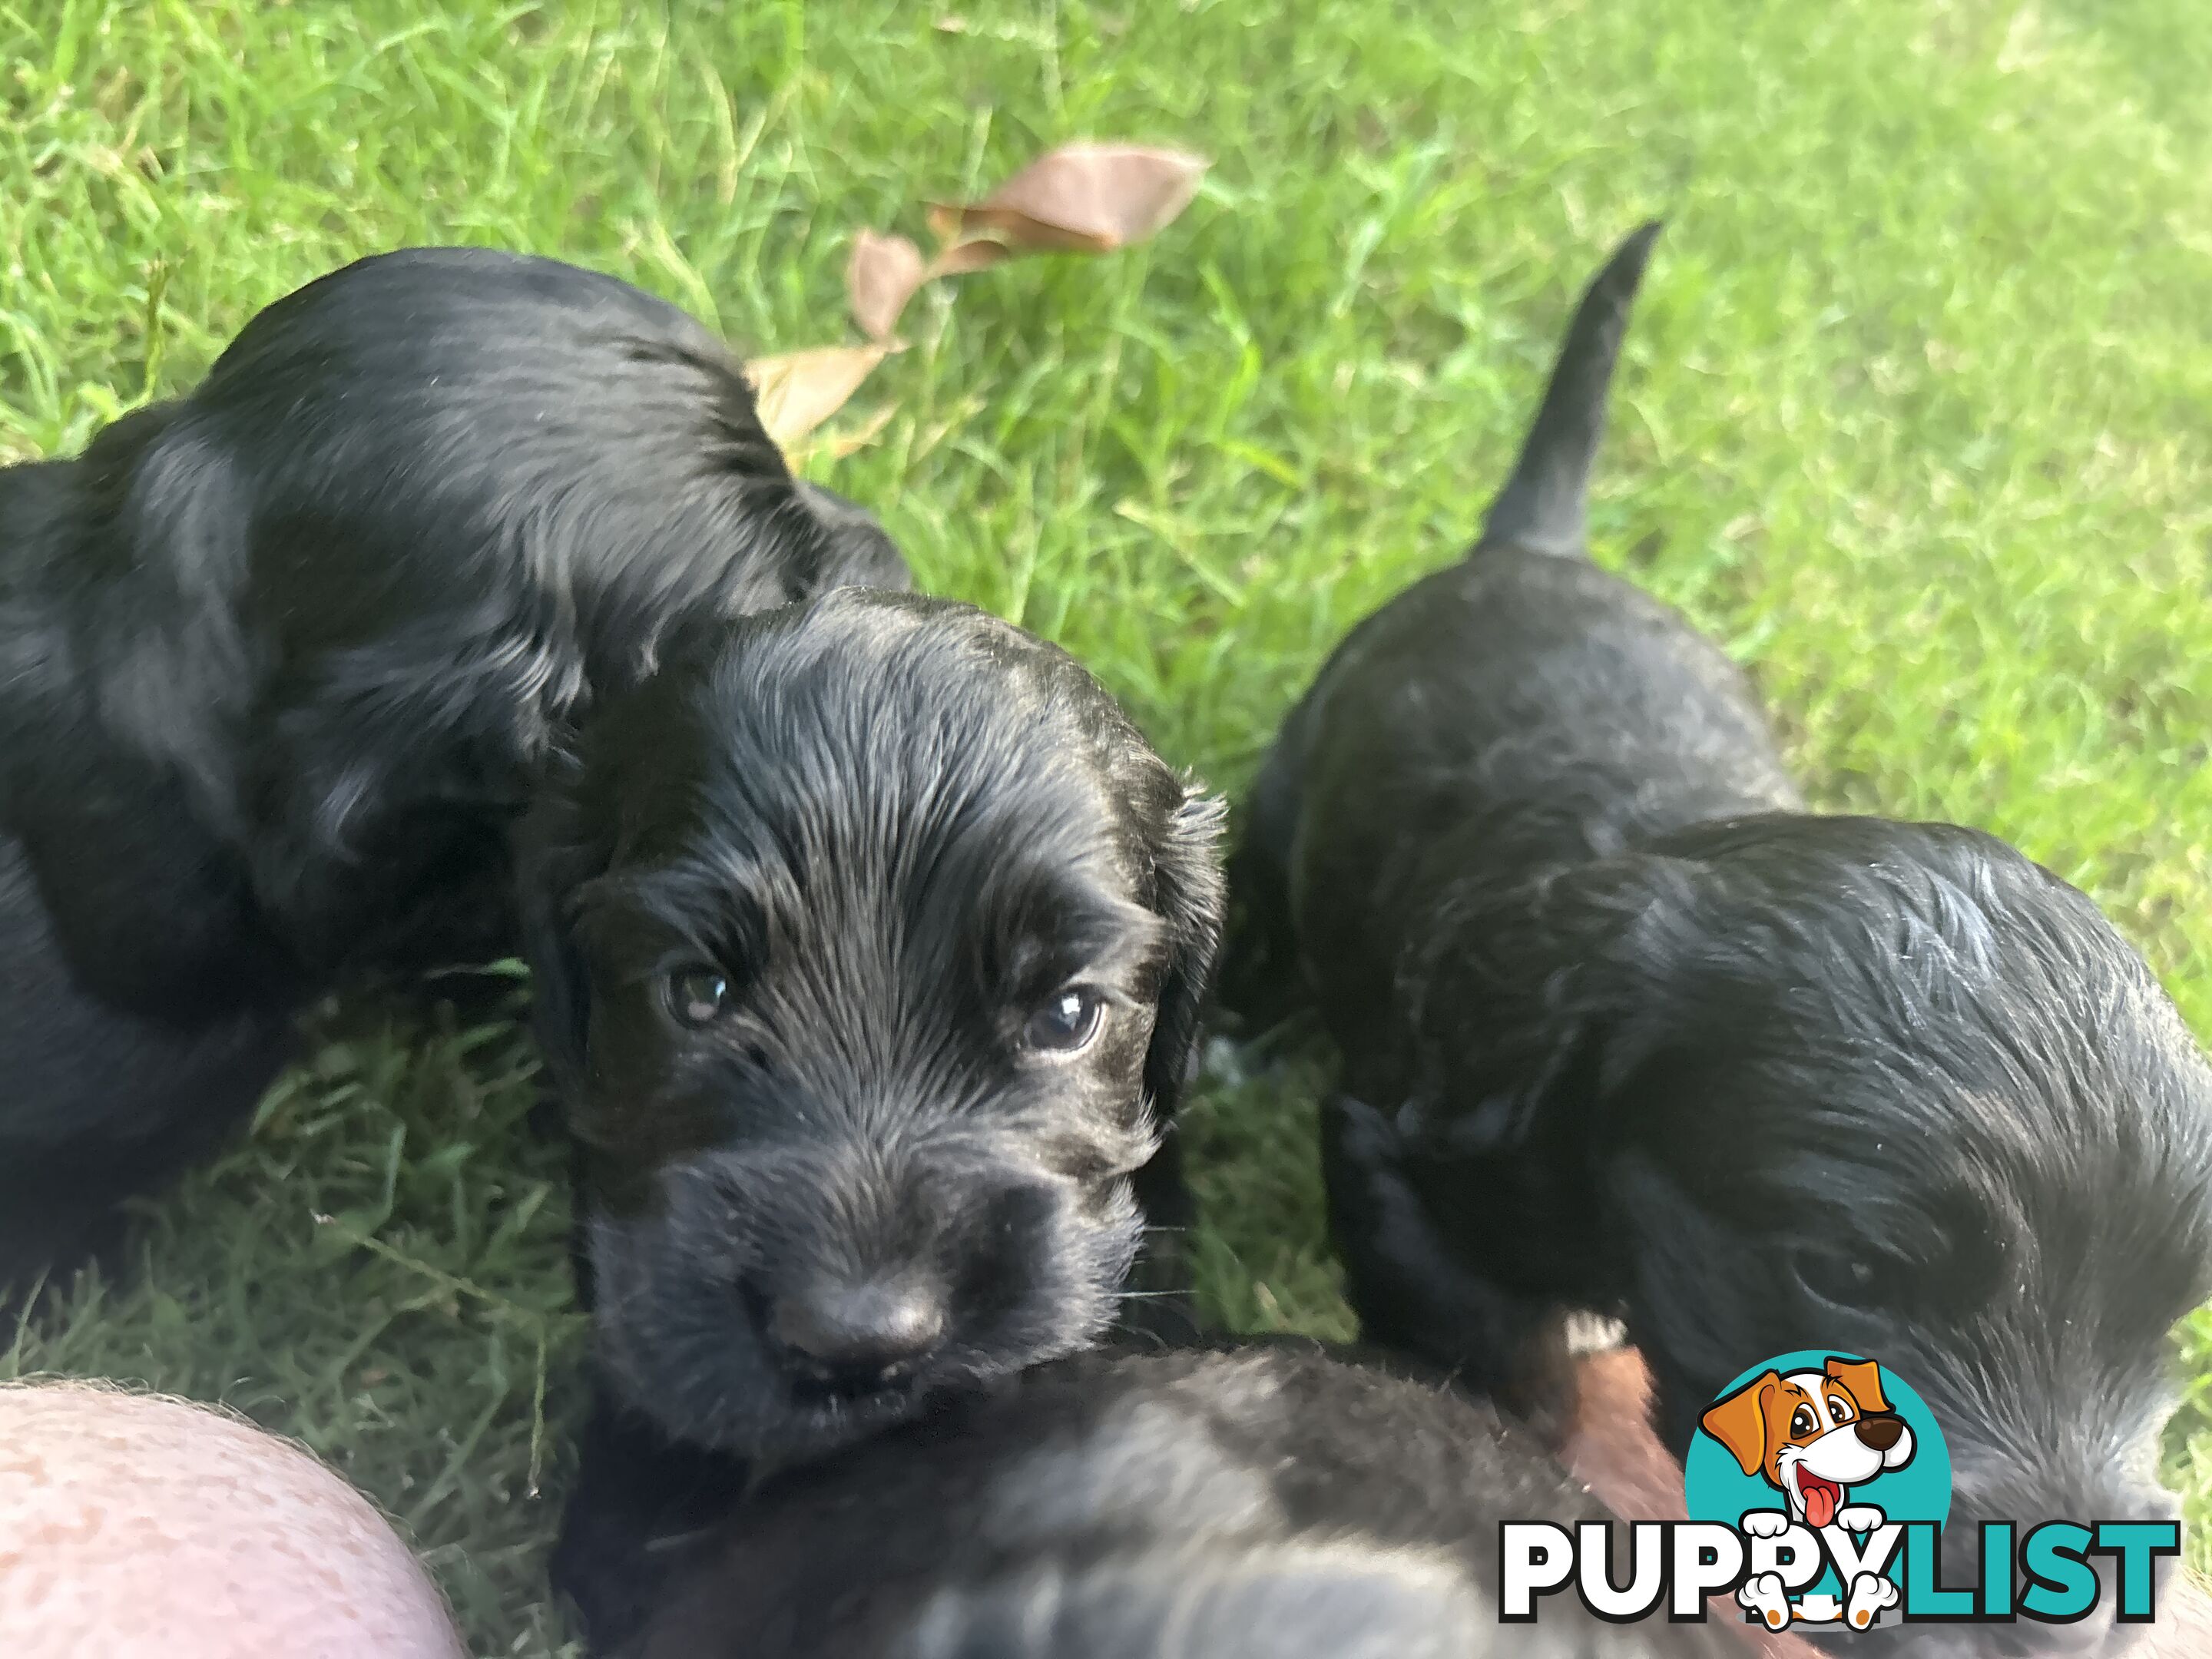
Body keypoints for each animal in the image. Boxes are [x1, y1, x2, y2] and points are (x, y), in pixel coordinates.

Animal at [1220, 224, 2212, 1659]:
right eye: (1844, 1271)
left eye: (2174, 1331)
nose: (2076, 1622)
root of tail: (1539, 548)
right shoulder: (1400, 1134)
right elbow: (1488, 1345)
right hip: (1291, 778)